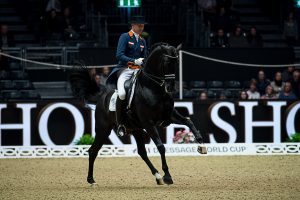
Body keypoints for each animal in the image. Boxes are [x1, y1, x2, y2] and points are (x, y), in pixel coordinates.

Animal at [70, 43, 206, 186]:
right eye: (166, 62)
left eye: (177, 62)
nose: (170, 88)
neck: (153, 88)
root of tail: (101, 96)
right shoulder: (148, 123)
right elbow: (161, 147)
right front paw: (168, 176)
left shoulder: (169, 116)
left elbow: (188, 121)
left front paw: (201, 146)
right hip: (103, 129)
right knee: (93, 151)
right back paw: (91, 180)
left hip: (136, 130)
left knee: (142, 152)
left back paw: (157, 176)